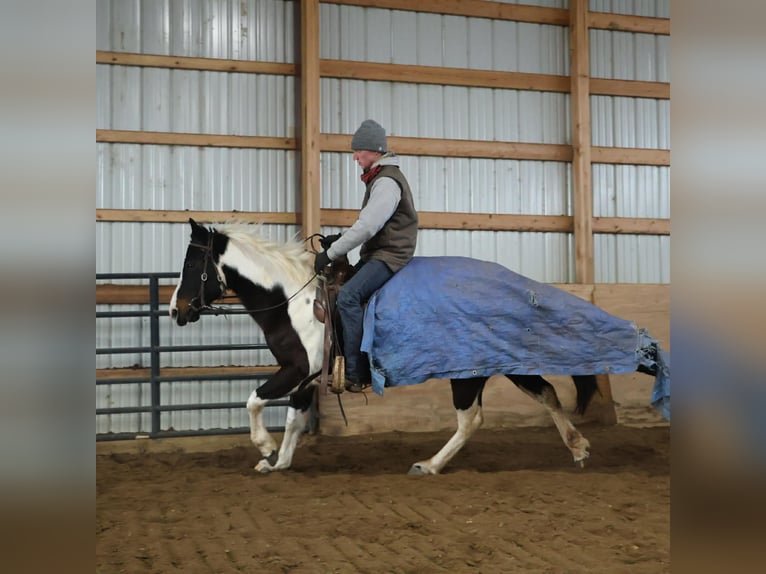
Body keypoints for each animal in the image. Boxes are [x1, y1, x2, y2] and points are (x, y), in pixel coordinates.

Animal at [169, 218, 658, 475]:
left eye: (191, 263)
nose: (177, 309)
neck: (294, 297)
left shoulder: (296, 370)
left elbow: (253, 401)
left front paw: (264, 448)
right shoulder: (305, 379)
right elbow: (293, 419)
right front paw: (280, 460)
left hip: (468, 374)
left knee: (471, 420)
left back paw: (430, 464)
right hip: (506, 361)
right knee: (548, 394)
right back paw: (578, 447)